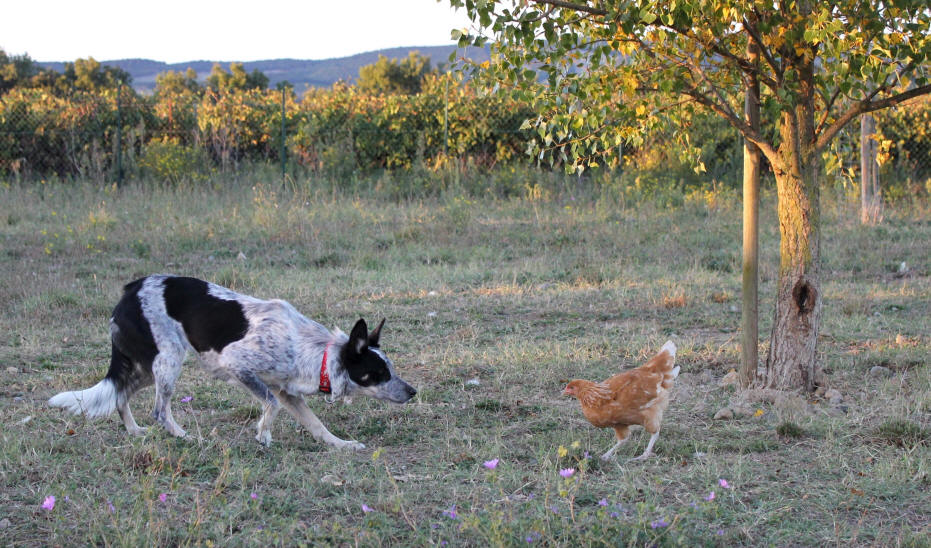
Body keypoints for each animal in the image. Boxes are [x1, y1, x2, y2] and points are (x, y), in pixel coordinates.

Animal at [49, 274, 416, 450]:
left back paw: (134, 430)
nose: (413, 392)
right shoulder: (239, 366)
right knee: (159, 410)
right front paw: (263, 435)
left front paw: (341, 445)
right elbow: (270, 407)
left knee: (120, 395)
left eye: (391, 369)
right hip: (168, 361)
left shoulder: (286, 392)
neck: (314, 350)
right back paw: (186, 438)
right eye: (379, 373)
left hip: (147, 368)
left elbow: (316, 425)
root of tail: (130, 290)